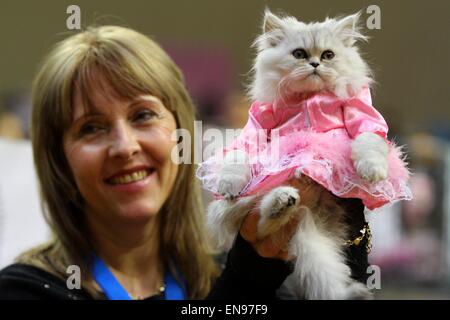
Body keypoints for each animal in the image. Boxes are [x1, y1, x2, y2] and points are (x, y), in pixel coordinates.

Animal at [206, 10, 388, 300]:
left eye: (328, 55)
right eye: (300, 54)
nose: (314, 64)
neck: (308, 98)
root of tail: (307, 216)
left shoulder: (365, 118)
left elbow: (368, 144)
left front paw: (372, 172)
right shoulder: (255, 128)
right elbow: (237, 158)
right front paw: (229, 184)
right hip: (240, 207)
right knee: (259, 219)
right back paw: (282, 201)